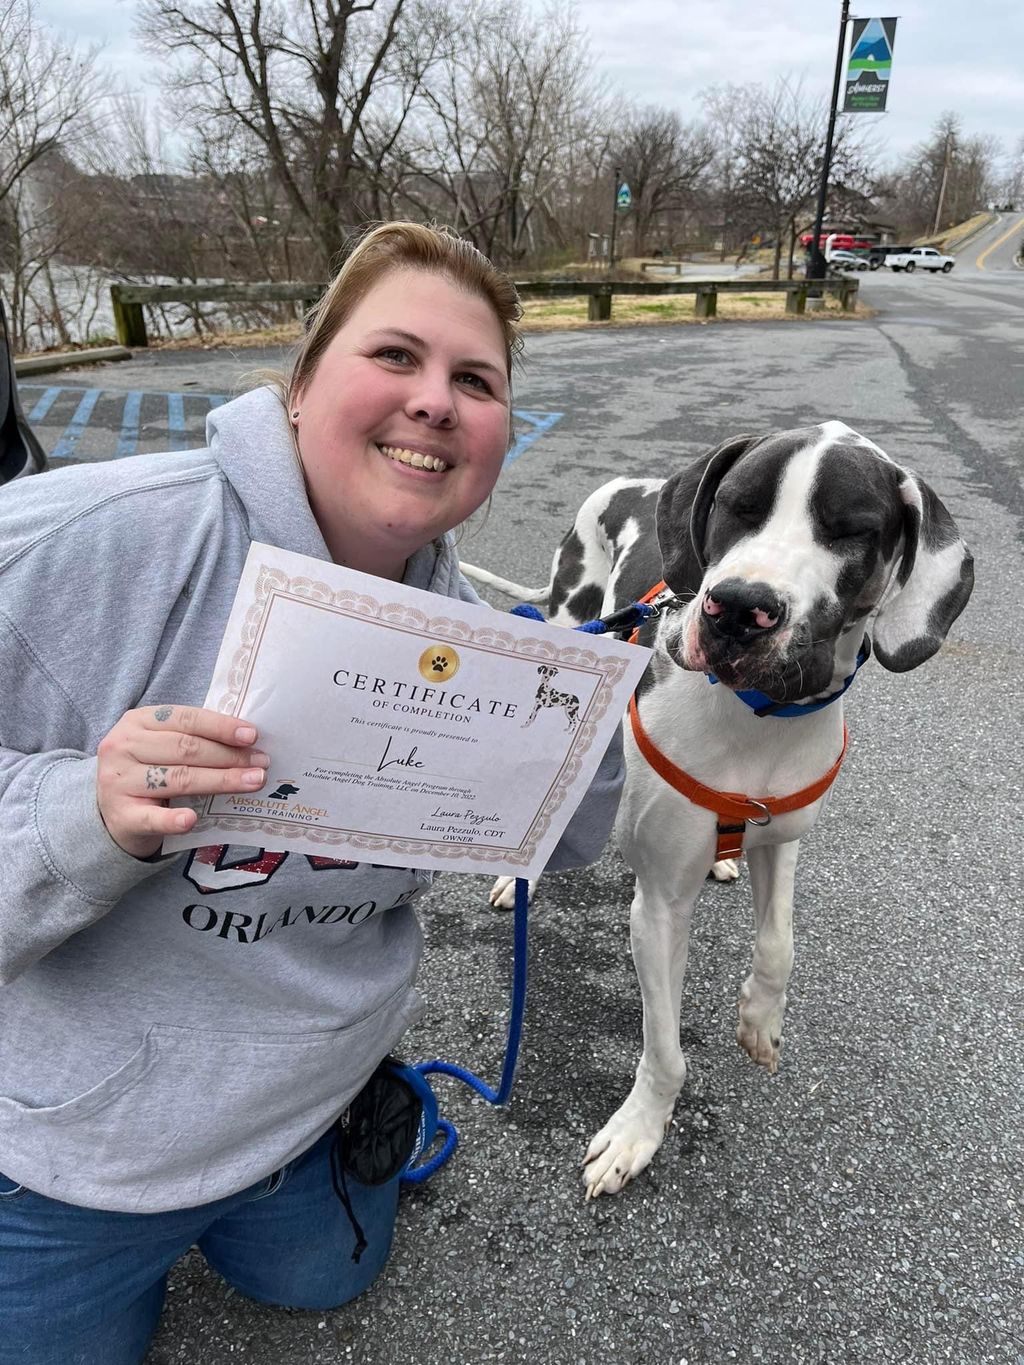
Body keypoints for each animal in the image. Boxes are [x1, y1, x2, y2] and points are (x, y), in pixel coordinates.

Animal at [466, 420, 977, 1201]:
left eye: (852, 529)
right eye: (739, 505)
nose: (737, 607)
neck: (758, 716)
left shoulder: (783, 837)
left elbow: (779, 943)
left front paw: (761, 1020)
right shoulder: (659, 908)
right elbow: (665, 1048)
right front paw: (638, 1132)